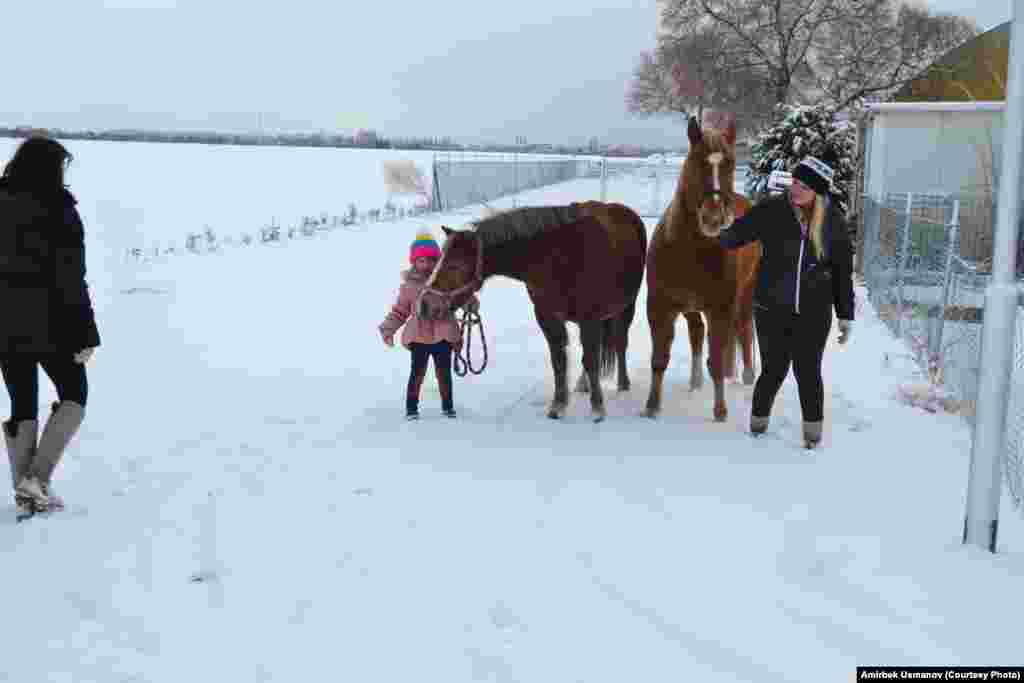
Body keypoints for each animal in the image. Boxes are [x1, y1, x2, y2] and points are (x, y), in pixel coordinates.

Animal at [417, 201, 643, 421]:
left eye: (454, 265)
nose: (424, 304)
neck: (560, 256)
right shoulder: (547, 317)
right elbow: (559, 361)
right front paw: (558, 406)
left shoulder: (589, 318)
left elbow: (591, 360)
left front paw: (597, 408)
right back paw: (583, 384)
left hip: (626, 307)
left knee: (620, 343)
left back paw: (623, 383)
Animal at [647, 114, 761, 421]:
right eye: (696, 161)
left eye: (730, 162)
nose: (713, 218)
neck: (691, 249)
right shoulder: (660, 305)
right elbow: (659, 358)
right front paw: (652, 406)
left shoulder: (720, 308)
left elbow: (718, 361)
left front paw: (720, 411)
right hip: (691, 307)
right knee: (697, 333)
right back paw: (696, 381)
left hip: (745, 295)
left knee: (744, 328)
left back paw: (747, 375)